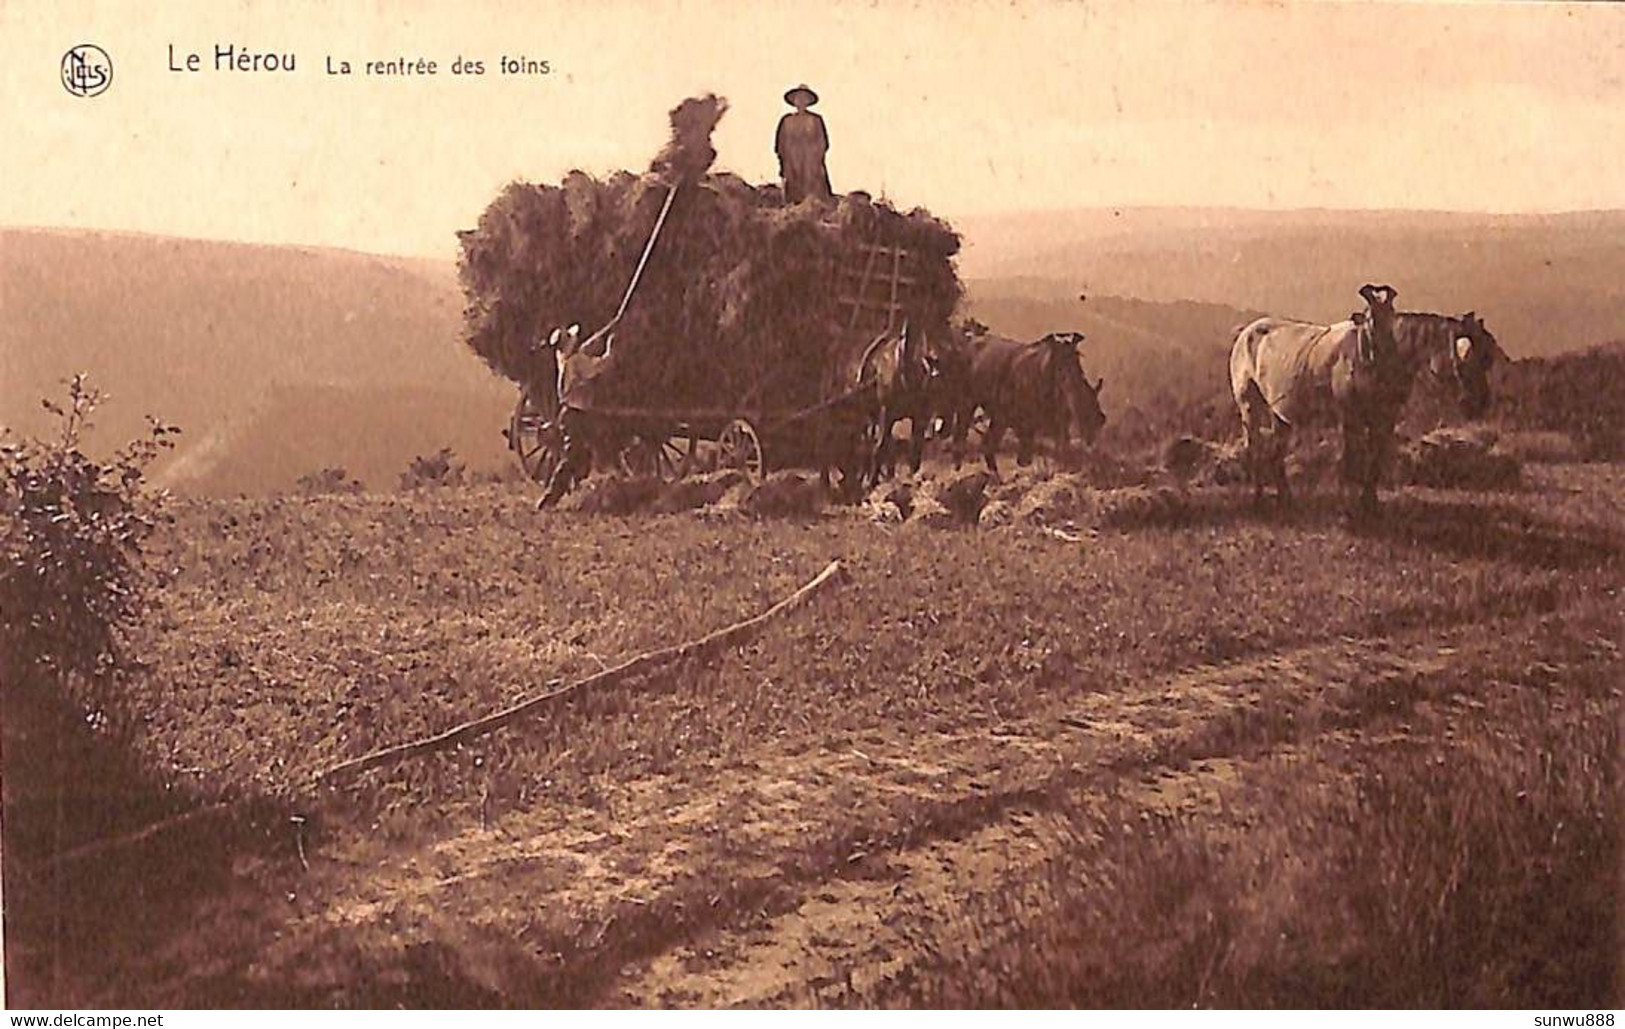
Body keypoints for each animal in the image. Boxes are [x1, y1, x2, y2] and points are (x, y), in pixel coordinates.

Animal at [1228, 284, 1495, 513]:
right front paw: (1348, 510)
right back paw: (1258, 499)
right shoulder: (1350, 418)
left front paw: (1370, 506)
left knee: (1276, 454)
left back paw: (1286, 499)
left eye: (1487, 359)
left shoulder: (1385, 420)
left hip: (1280, 415)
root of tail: (1246, 332)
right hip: (1249, 405)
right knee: (1254, 447)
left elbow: (1374, 461)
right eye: (1465, 358)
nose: (1480, 403)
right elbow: (1351, 463)